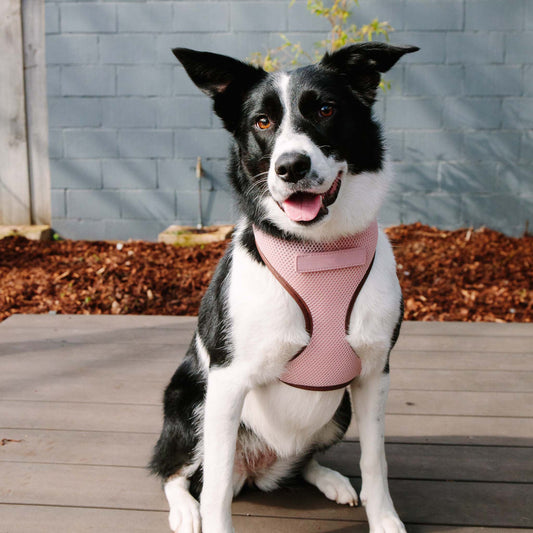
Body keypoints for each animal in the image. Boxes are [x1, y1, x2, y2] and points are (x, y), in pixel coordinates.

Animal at [149, 42, 416, 532]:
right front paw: (207, 516)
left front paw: (385, 519)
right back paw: (185, 510)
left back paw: (331, 479)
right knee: (175, 472)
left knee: (305, 460)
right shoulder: (227, 382)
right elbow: (215, 490)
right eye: (262, 121)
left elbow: (376, 461)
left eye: (326, 109)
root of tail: (258, 470)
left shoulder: (374, 373)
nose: (292, 166)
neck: (317, 251)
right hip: (190, 403)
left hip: (339, 410)